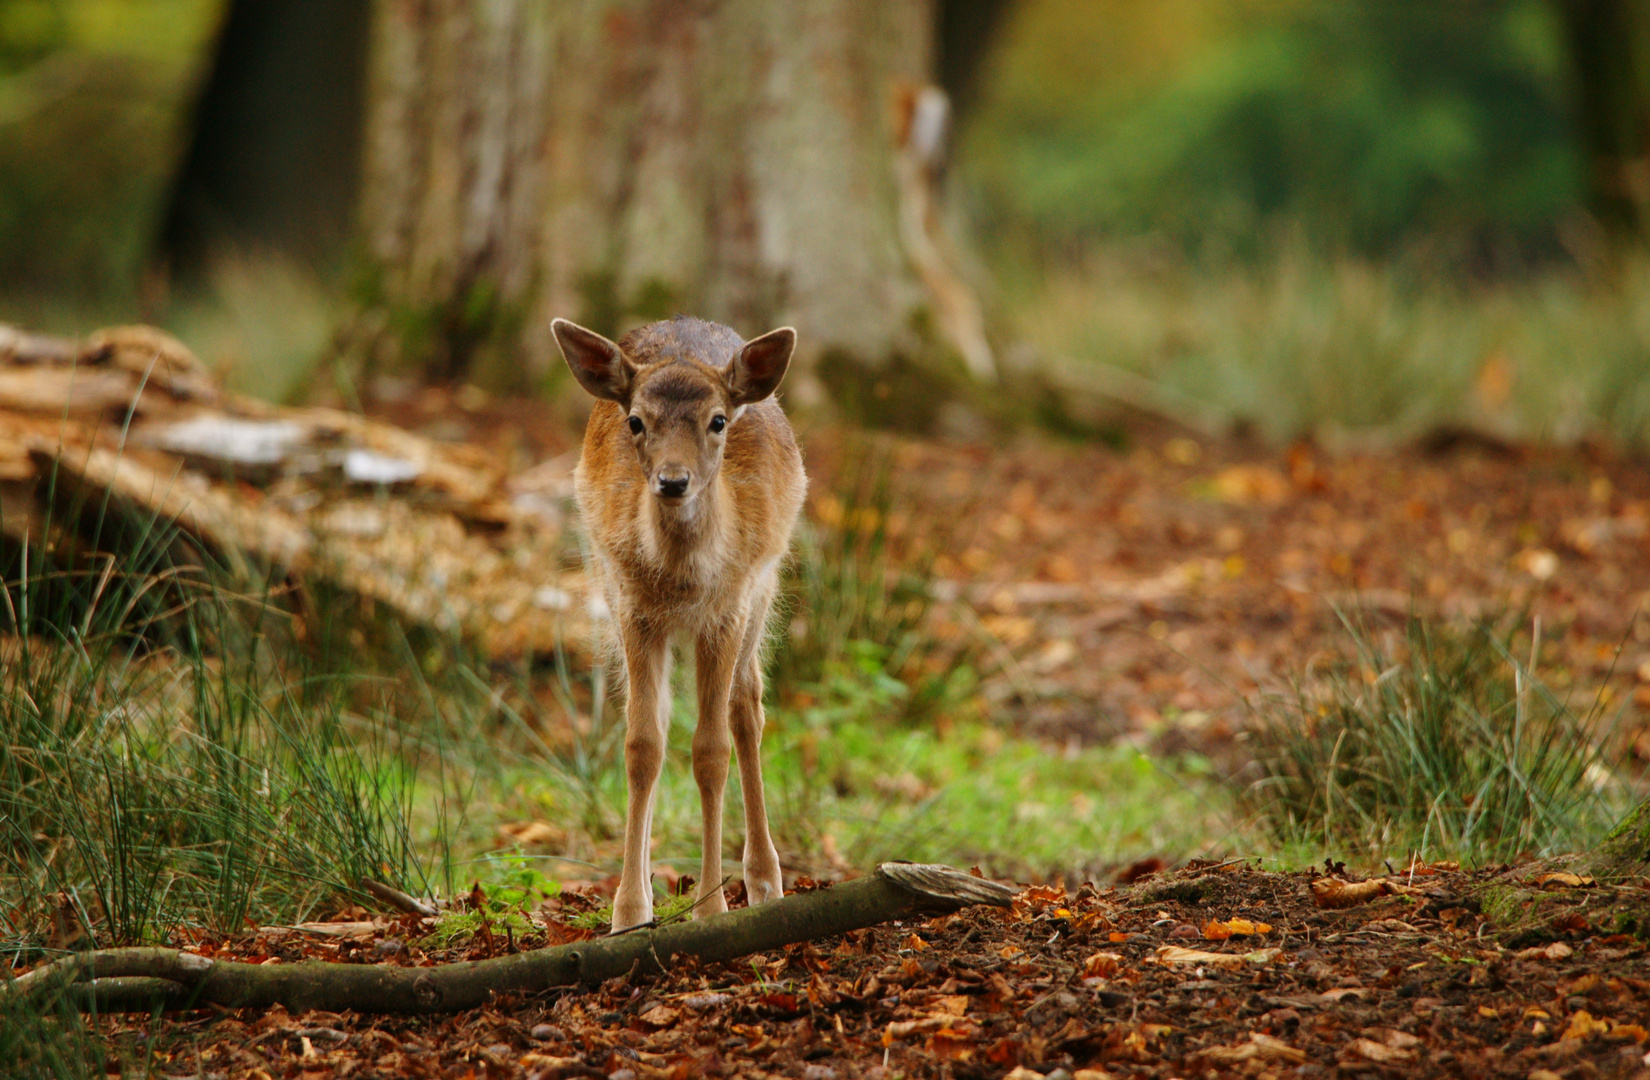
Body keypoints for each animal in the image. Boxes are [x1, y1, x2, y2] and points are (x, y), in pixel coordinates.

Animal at [554, 314, 805, 936]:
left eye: (717, 420)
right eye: (636, 421)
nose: (672, 481)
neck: (683, 581)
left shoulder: (728, 607)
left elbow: (711, 751)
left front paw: (712, 907)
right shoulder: (634, 607)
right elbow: (643, 744)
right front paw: (628, 910)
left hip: (763, 590)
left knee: (747, 708)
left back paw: (765, 879)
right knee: (668, 718)